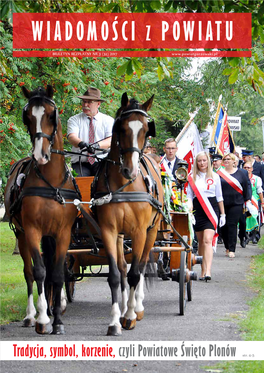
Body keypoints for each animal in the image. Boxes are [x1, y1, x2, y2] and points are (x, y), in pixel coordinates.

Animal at [4, 85, 78, 334]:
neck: (52, 182)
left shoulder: (63, 232)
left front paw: (58, 321)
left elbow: (57, 273)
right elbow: (39, 272)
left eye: (51, 115)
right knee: (29, 273)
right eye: (27, 117)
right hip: (21, 235)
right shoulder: (32, 230)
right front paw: (43, 318)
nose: (40, 155)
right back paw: (30, 315)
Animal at [93, 92, 163, 334]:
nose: (130, 170)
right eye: (121, 128)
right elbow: (116, 275)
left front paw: (131, 315)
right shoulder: (109, 230)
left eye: (146, 130)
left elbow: (135, 274)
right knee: (124, 267)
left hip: (152, 231)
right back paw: (124, 309)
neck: (125, 185)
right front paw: (115, 321)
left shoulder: (140, 231)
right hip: (122, 236)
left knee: (140, 267)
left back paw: (136, 308)